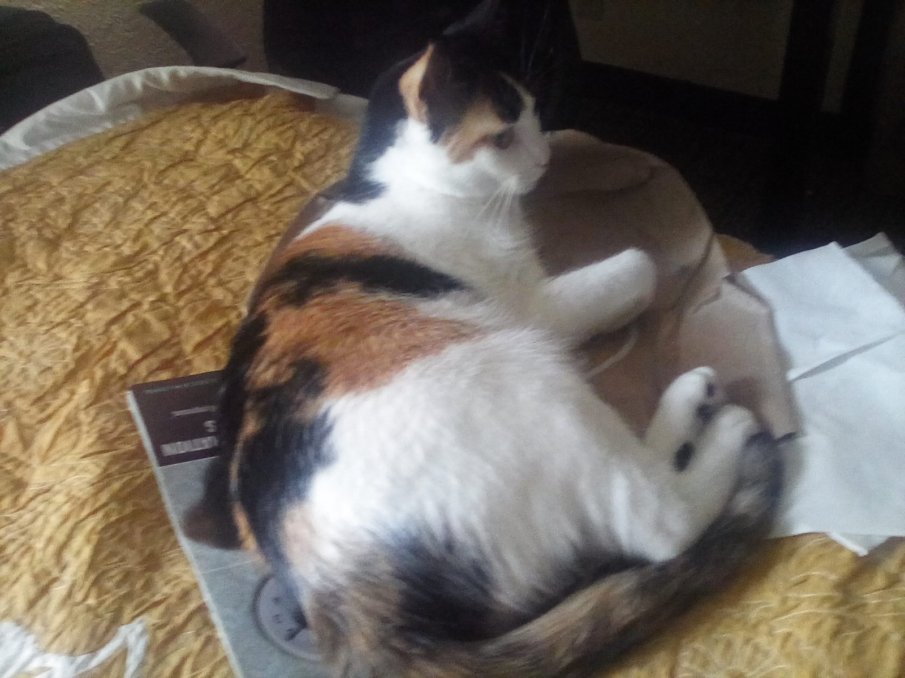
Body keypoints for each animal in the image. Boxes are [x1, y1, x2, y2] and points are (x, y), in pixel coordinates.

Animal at [216, 2, 782, 675]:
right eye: (502, 137)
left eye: (535, 114)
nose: (542, 161)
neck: (404, 186)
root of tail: (346, 605)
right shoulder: (536, 307)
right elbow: (640, 265)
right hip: (524, 372)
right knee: (659, 521)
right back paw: (715, 418)